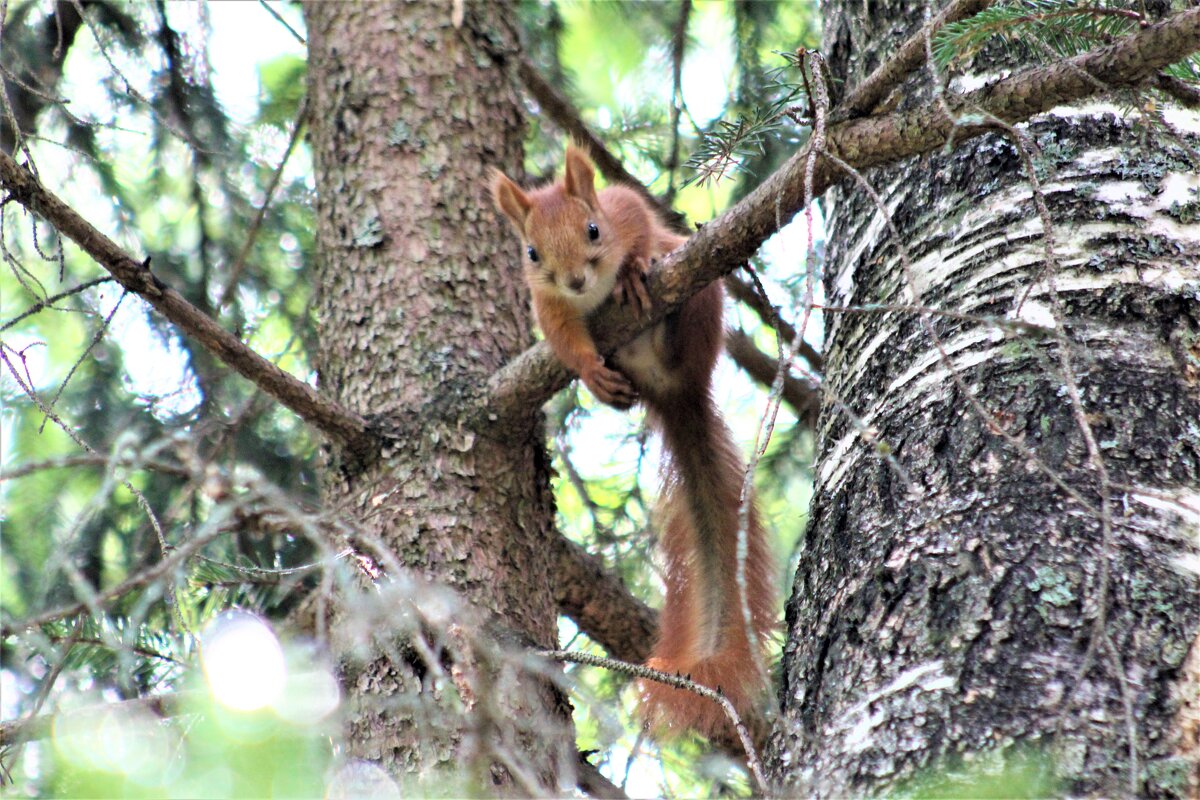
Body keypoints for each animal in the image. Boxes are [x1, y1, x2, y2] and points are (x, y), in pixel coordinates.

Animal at [489, 145, 777, 738]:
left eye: (593, 229)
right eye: (531, 252)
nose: (576, 280)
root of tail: (678, 394)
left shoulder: (623, 210)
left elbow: (639, 218)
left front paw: (633, 268)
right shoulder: (547, 305)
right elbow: (563, 339)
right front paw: (587, 371)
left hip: (703, 308)